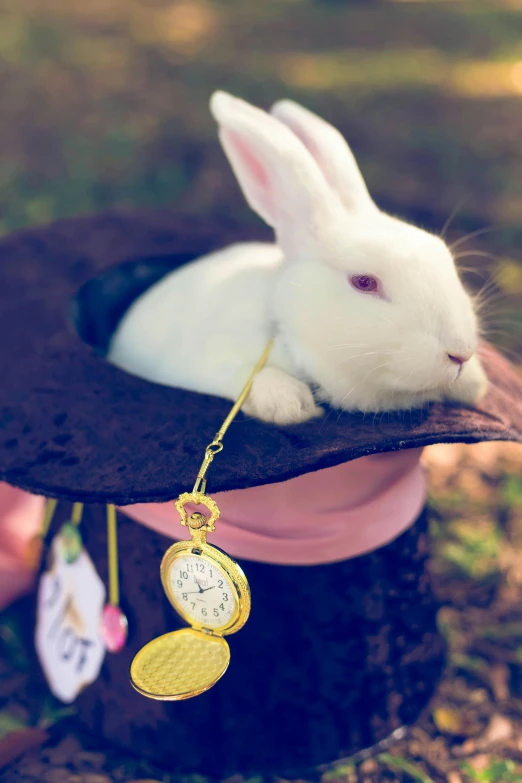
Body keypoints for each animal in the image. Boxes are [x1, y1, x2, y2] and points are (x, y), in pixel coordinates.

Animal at [107, 90, 486, 428]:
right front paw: (291, 405)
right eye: (364, 282)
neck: (284, 329)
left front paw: (474, 383)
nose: (460, 353)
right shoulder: (204, 359)